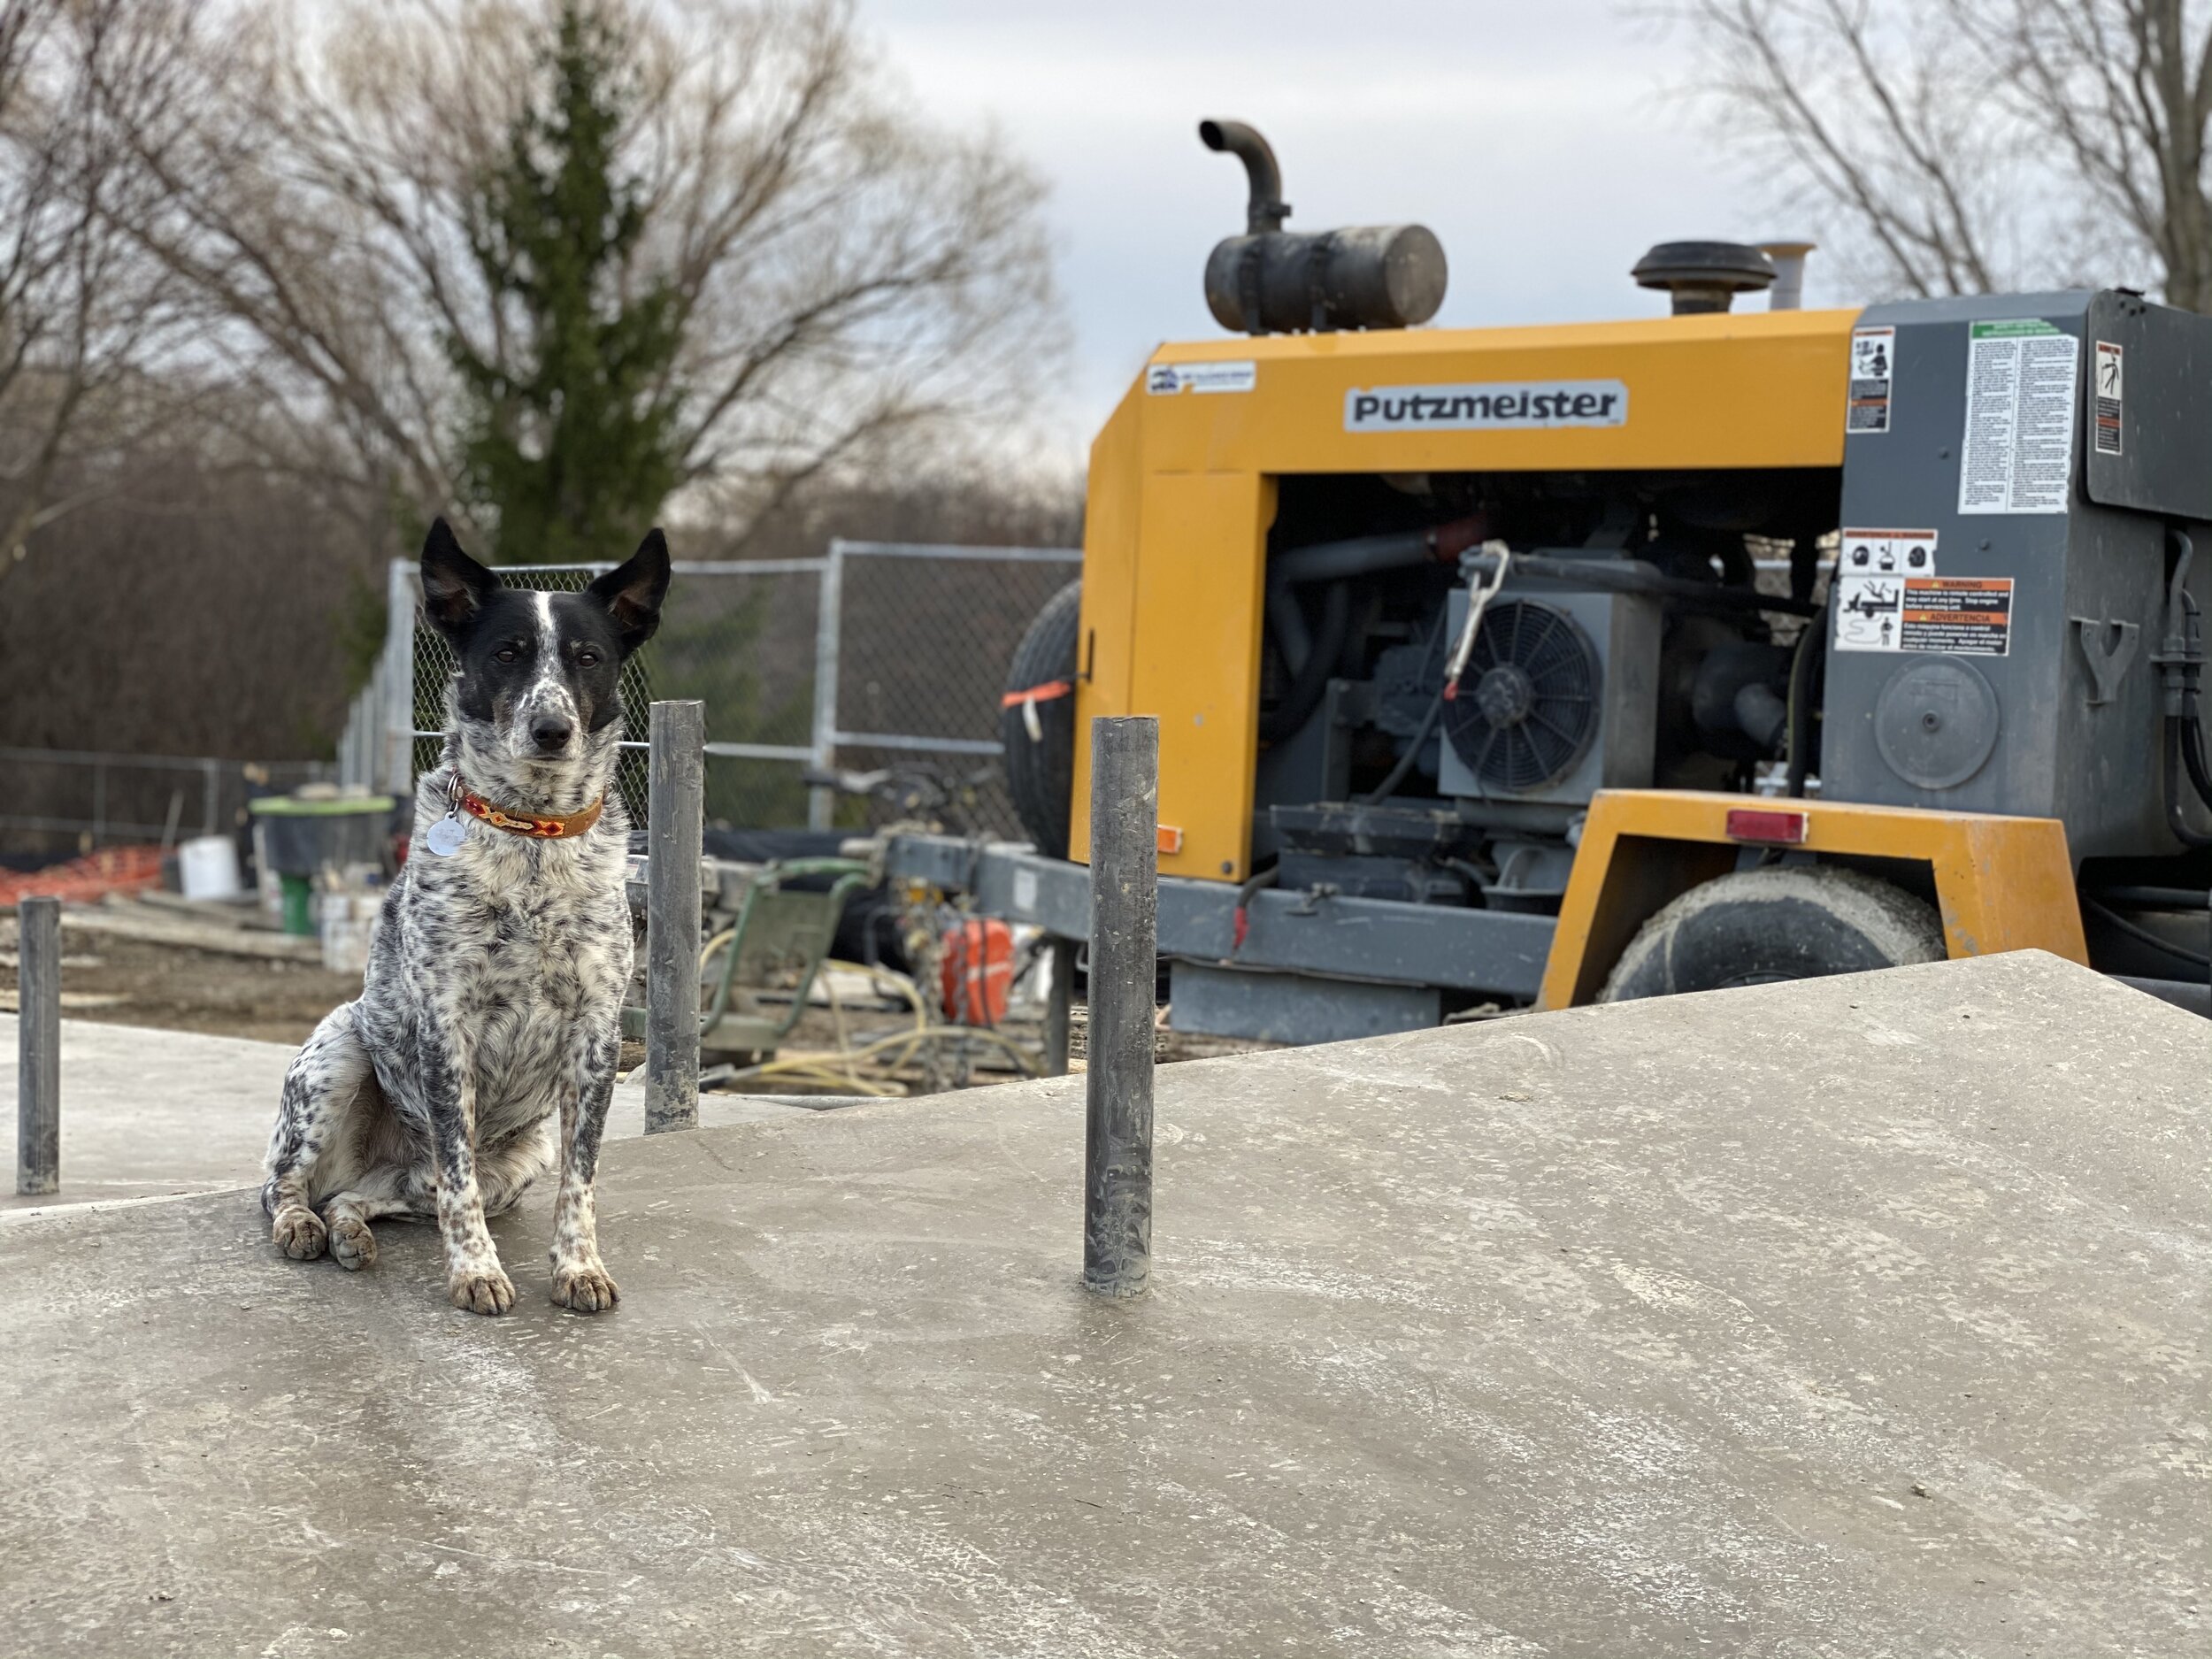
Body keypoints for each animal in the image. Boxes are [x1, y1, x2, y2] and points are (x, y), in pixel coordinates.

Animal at [263, 526, 668, 1318]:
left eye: (588, 657)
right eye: (507, 652)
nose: (551, 729)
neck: (533, 833)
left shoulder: (597, 1036)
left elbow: (580, 1182)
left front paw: (579, 1266)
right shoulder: (447, 1031)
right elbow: (460, 1182)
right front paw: (476, 1270)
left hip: (511, 1163)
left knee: (359, 1196)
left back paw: (351, 1232)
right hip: (336, 1055)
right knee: (284, 1186)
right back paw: (302, 1224)